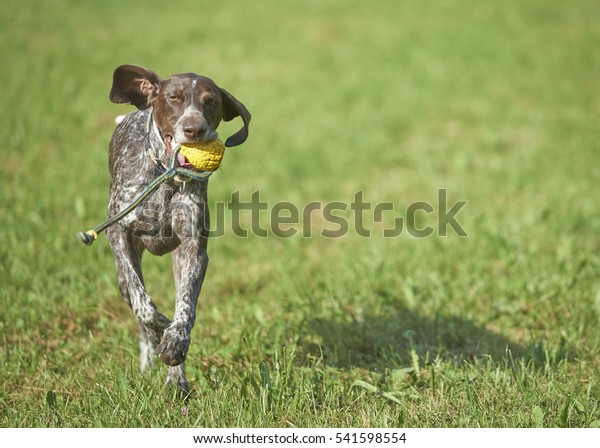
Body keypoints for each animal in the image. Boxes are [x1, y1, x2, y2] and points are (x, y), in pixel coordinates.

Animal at [106, 65, 250, 394]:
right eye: (174, 98)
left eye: (211, 101)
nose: (194, 128)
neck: (166, 177)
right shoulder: (118, 234)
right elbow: (144, 305)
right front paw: (160, 329)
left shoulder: (194, 250)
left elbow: (185, 307)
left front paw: (175, 340)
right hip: (121, 279)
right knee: (136, 306)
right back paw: (149, 359)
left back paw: (177, 379)